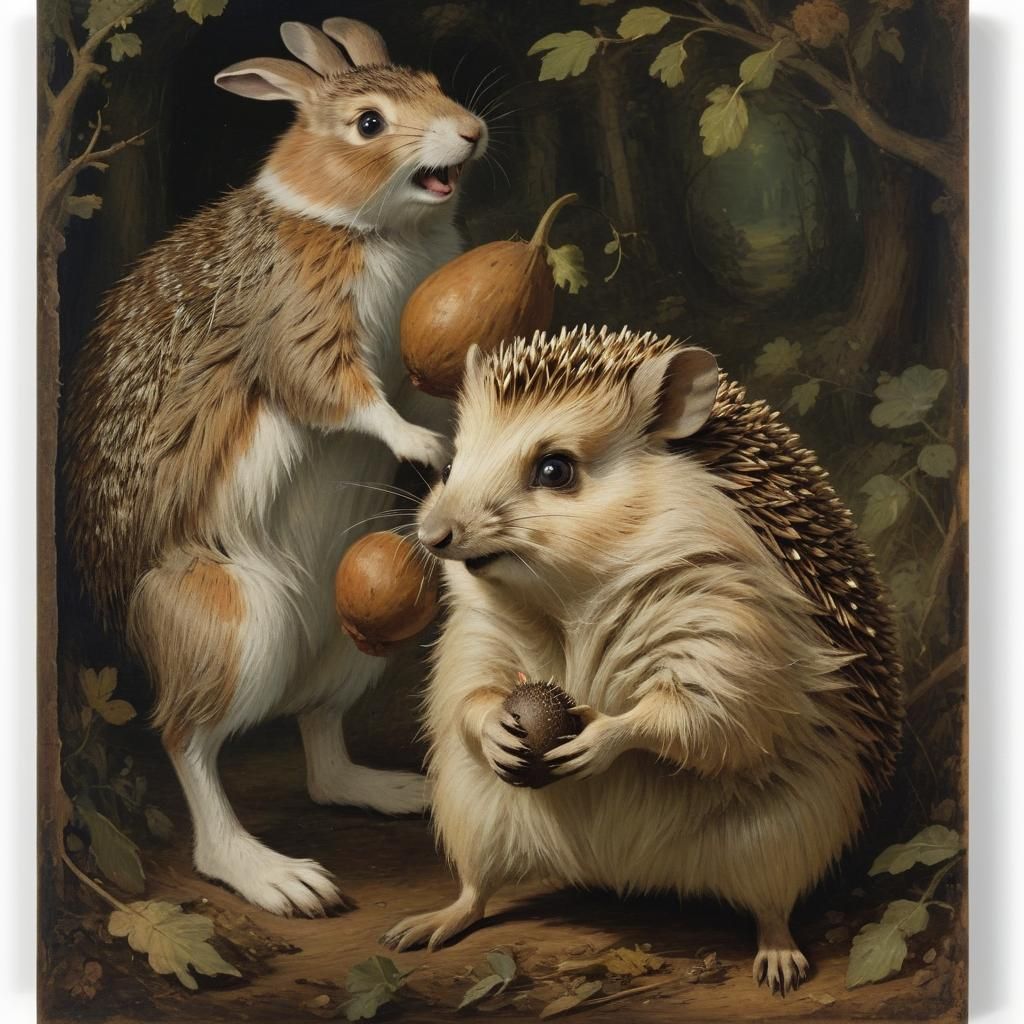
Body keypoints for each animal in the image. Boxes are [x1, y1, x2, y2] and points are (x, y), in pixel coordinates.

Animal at [63, 17, 488, 916]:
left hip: (353, 638)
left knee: (320, 738)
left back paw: (393, 790)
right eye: (368, 123)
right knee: (187, 743)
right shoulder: (301, 329)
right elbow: (339, 395)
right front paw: (421, 448)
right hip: (232, 625)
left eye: (435, 83)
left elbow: (425, 396)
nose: (471, 131)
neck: (358, 223)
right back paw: (279, 879)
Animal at [382, 326, 902, 996]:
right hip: (474, 810)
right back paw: (435, 920)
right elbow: (465, 691)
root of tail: (622, 869)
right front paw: (497, 725)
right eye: (449, 466)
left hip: (786, 830)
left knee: (772, 900)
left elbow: (712, 706)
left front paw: (601, 737)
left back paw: (780, 956)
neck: (568, 599)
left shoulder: (730, 613)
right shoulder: (475, 629)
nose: (434, 535)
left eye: (554, 468)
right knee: (478, 881)